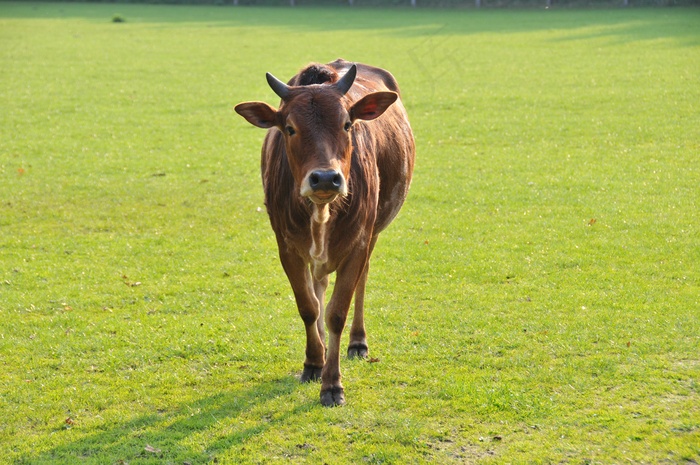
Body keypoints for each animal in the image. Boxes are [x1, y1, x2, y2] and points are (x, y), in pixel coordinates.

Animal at [235, 59, 416, 406]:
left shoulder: (358, 242)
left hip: (373, 232)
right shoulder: (287, 247)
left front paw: (332, 384)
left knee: (362, 280)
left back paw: (358, 342)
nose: (325, 178)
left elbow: (337, 313)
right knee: (319, 286)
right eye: (289, 127)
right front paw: (313, 363)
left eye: (346, 124)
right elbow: (309, 307)